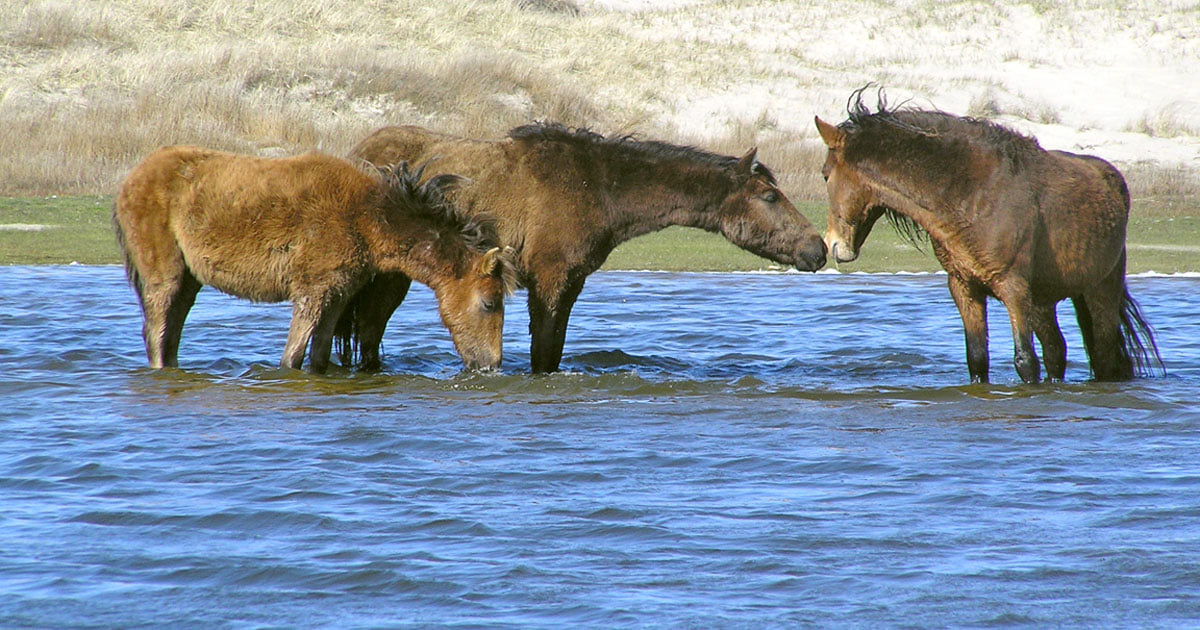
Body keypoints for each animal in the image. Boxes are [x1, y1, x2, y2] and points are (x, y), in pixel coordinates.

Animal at [113, 146, 517, 373]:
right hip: (164, 274)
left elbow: (319, 357)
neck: (365, 219)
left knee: (171, 333)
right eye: (489, 303)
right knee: (156, 332)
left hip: (189, 280)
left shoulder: (336, 293)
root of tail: (130, 180)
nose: (490, 365)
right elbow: (292, 357)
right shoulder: (311, 291)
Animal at [341, 121, 828, 373]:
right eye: (770, 197)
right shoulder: (548, 280)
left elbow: (554, 349)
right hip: (390, 276)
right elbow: (542, 353)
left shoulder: (571, 283)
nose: (817, 249)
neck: (596, 187)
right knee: (369, 330)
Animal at [815, 89, 1161, 383]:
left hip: (1100, 290)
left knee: (1103, 357)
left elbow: (1025, 360)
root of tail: (1113, 180)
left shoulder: (1013, 288)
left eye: (825, 175)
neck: (970, 194)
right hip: (1043, 300)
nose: (833, 245)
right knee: (1056, 351)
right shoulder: (964, 287)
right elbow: (977, 359)